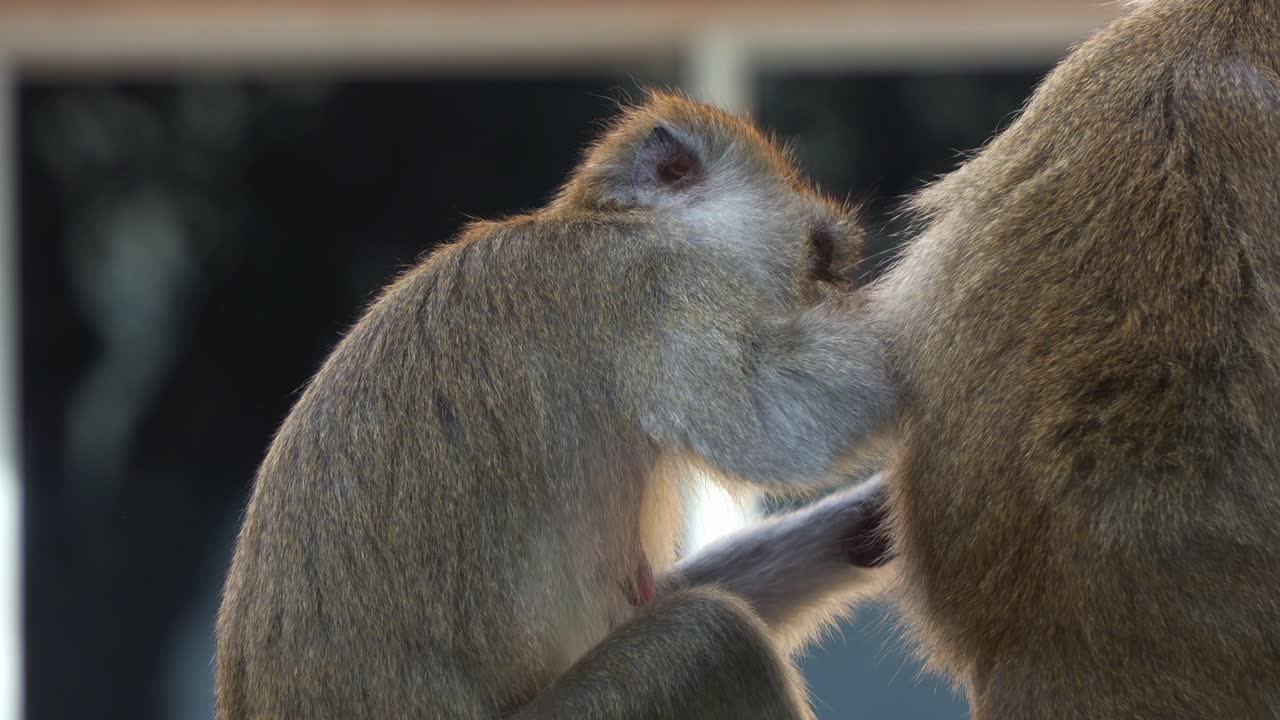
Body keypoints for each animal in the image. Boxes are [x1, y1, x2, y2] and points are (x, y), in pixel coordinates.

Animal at [214, 91, 898, 720]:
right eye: (820, 259)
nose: (816, 291)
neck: (615, 221)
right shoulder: (656, 288)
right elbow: (785, 420)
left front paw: (871, 518)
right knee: (710, 637)